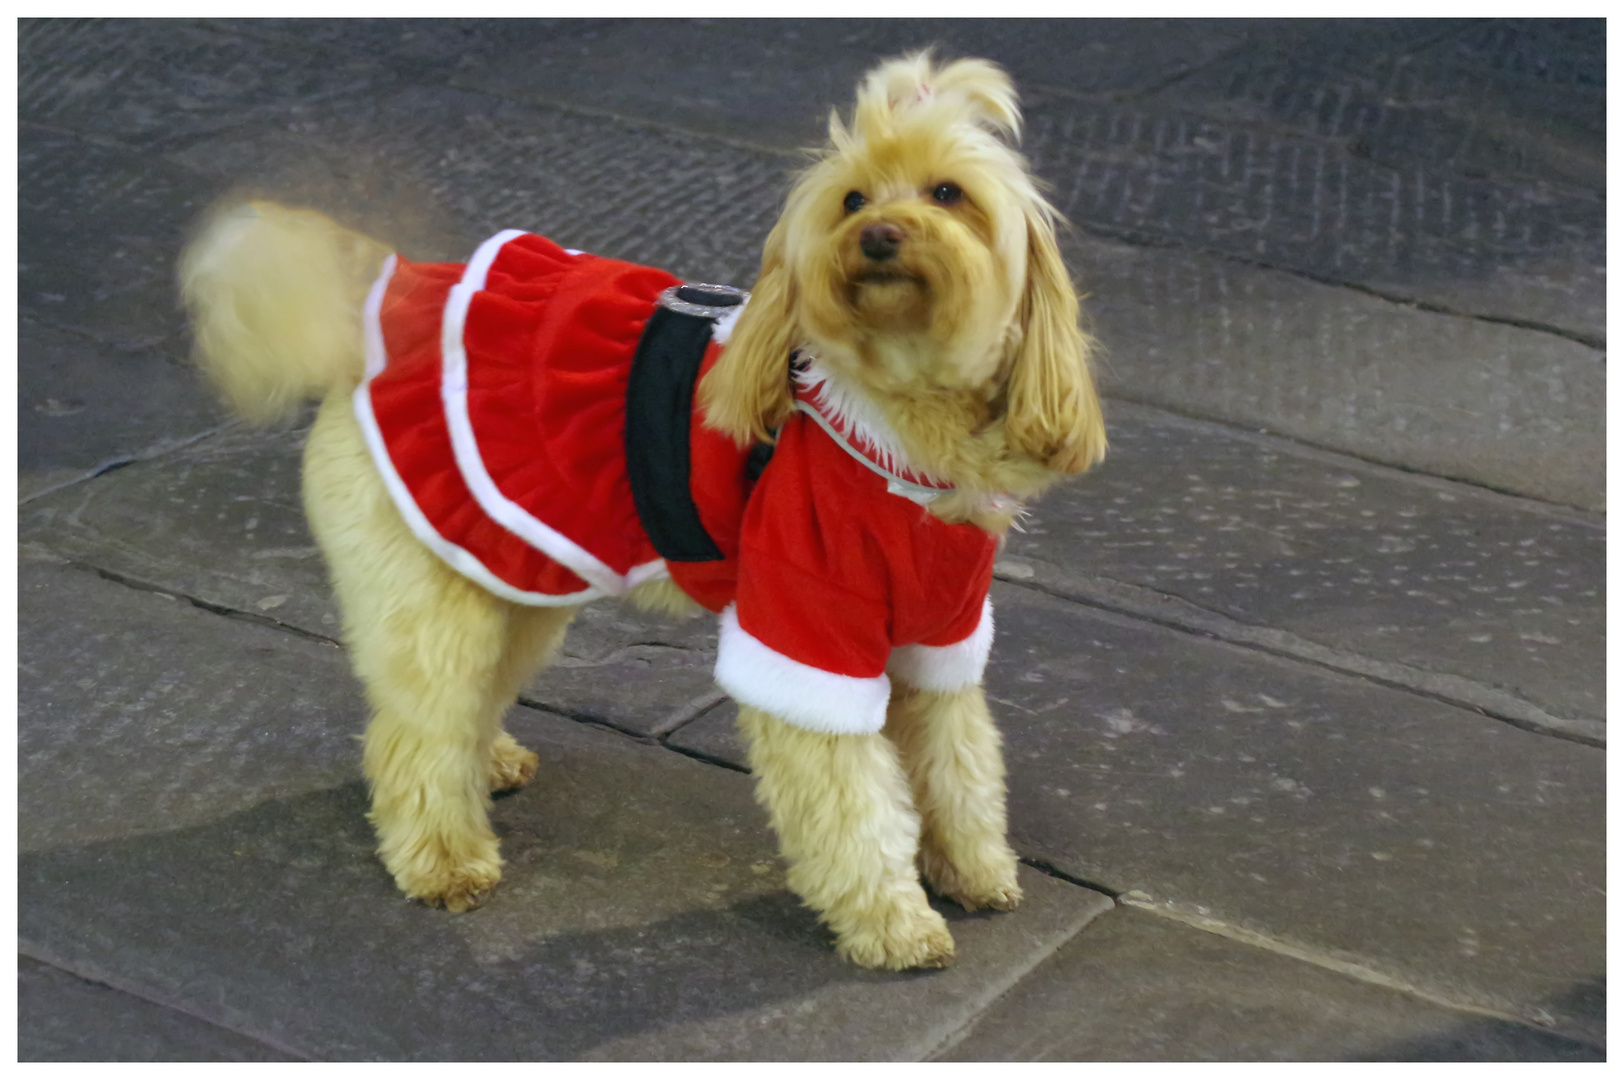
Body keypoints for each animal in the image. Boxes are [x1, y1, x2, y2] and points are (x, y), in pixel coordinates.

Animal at [184, 52, 1110, 967]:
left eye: (948, 193)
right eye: (852, 200)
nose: (879, 236)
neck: (897, 423)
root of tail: (387, 306)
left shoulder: (940, 636)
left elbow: (961, 767)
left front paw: (972, 868)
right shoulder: (804, 629)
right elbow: (854, 802)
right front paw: (892, 921)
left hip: (509, 573)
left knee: (457, 704)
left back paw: (488, 767)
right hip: (441, 593)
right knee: (412, 730)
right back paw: (444, 857)